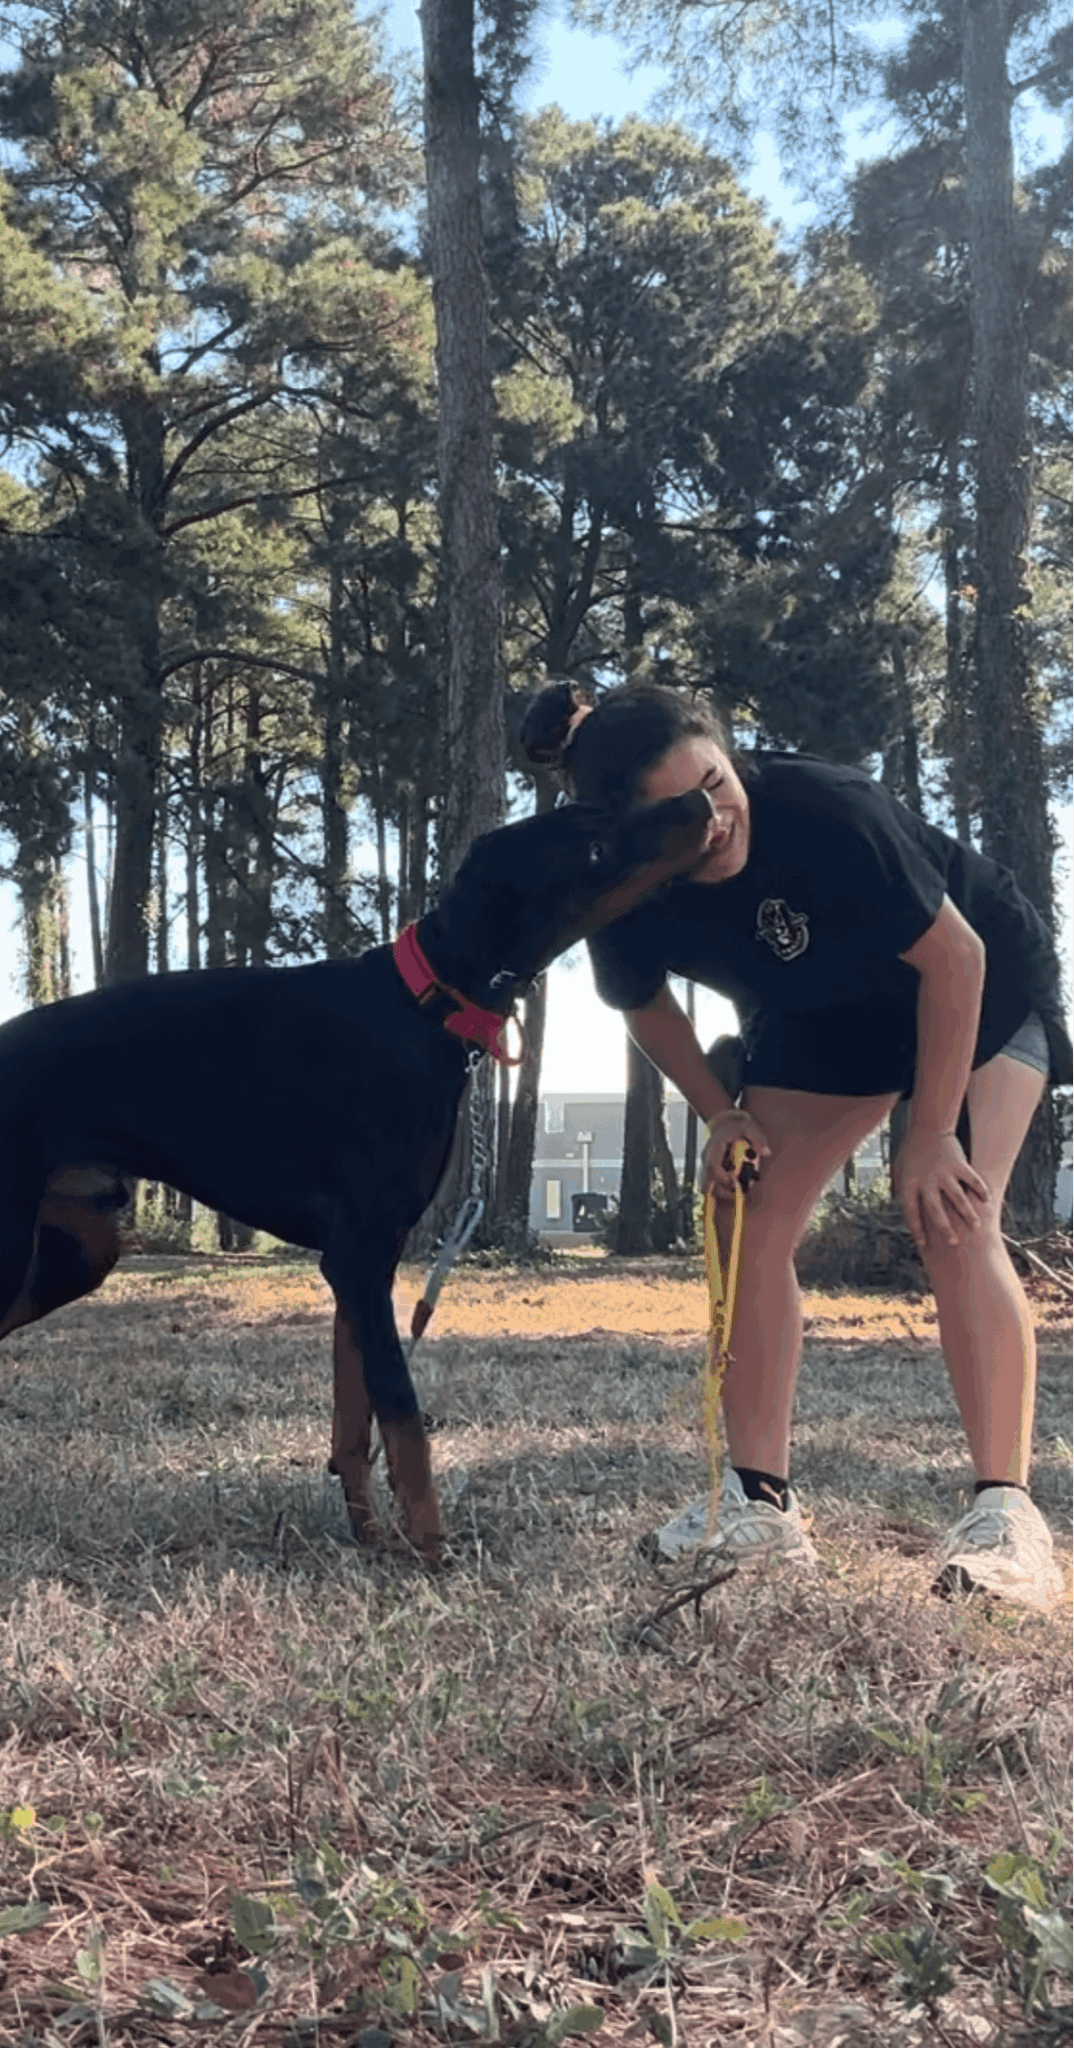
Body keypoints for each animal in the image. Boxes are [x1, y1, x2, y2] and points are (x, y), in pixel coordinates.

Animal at [0, 788, 713, 1559]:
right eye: (592, 848)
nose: (702, 797)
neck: (425, 1002)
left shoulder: (363, 1265)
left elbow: (355, 1424)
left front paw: (373, 1536)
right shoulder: (360, 1255)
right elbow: (403, 1415)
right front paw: (431, 1550)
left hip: (75, 1250)